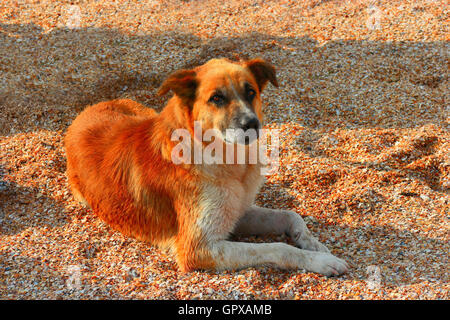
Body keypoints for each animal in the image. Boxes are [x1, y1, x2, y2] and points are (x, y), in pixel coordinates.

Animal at [65, 58, 350, 276]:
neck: (229, 160)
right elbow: (277, 247)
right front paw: (322, 262)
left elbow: (290, 215)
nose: (252, 124)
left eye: (251, 92)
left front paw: (315, 245)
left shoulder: (237, 211)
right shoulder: (199, 249)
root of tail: (85, 111)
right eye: (217, 98)